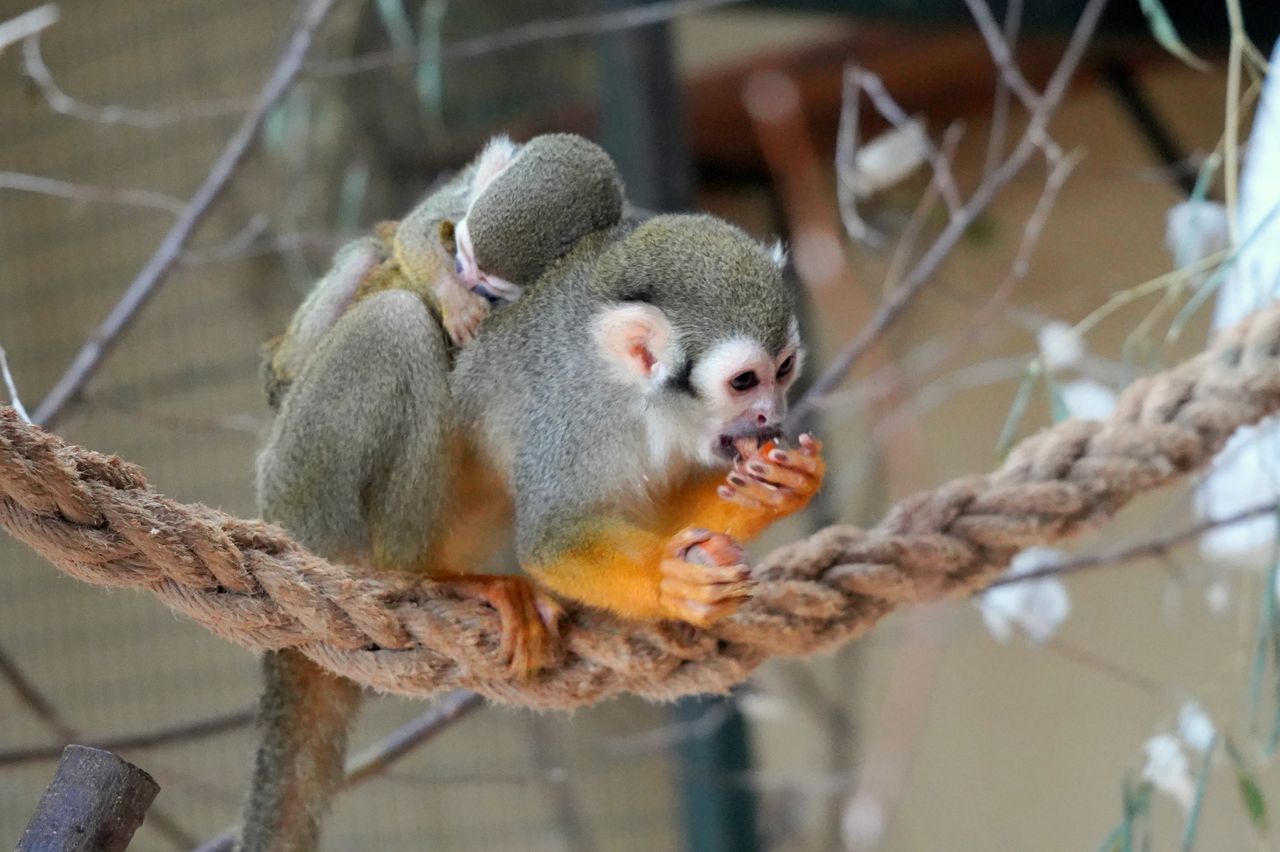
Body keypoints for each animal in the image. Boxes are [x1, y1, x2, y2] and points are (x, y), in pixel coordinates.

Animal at [238, 133, 819, 849]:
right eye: (744, 382)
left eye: (783, 370)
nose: (771, 415)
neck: (644, 404)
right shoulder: (568, 416)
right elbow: (552, 541)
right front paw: (669, 576)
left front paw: (776, 491)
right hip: (303, 479)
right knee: (395, 322)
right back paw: (426, 573)